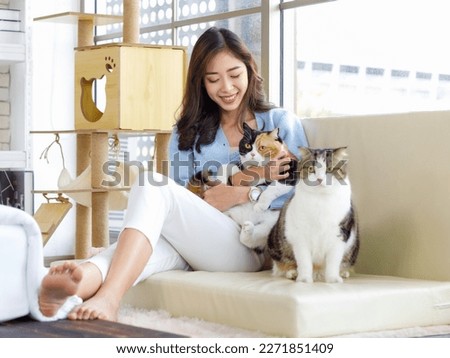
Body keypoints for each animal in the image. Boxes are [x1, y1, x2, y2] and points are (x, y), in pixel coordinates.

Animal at [268, 145, 358, 282]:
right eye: (311, 168)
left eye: (329, 169)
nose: (320, 179)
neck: (321, 200)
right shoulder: (300, 235)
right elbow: (304, 260)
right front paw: (304, 279)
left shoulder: (340, 233)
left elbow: (334, 261)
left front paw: (333, 279)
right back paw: (293, 273)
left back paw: (342, 273)